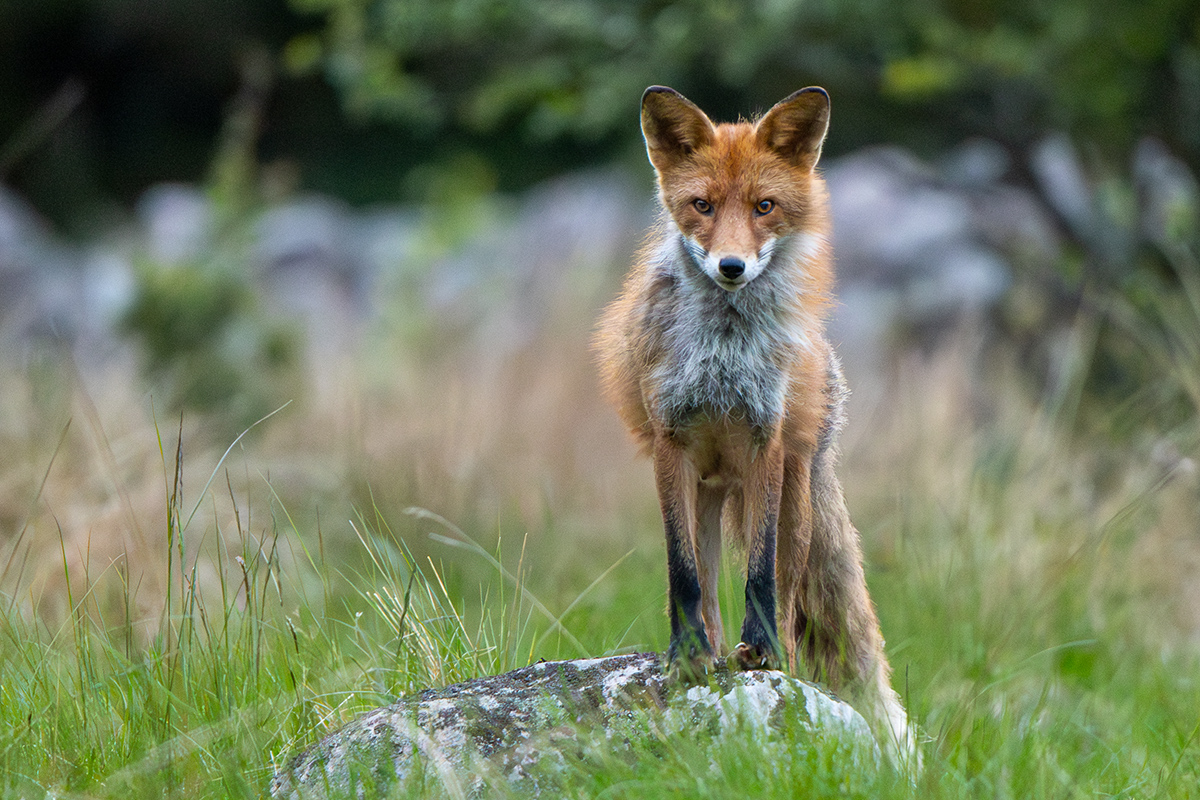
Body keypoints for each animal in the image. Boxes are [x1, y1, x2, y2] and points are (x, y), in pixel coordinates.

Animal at [594, 86, 917, 765]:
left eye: (764, 207)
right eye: (702, 206)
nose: (731, 267)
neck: (724, 353)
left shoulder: (763, 439)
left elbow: (762, 572)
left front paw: (762, 653)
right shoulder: (671, 444)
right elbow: (683, 575)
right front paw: (687, 656)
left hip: (796, 499)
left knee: (791, 597)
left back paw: (782, 667)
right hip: (706, 495)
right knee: (709, 580)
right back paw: (712, 651)